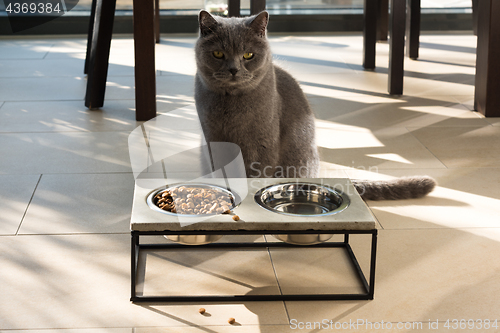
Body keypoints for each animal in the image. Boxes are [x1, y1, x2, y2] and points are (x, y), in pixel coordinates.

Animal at [193, 10, 436, 200]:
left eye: (248, 55)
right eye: (218, 53)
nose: (234, 69)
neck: (231, 105)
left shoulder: (261, 143)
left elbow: (256, 173)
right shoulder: (212, 137)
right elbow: (221, 171)